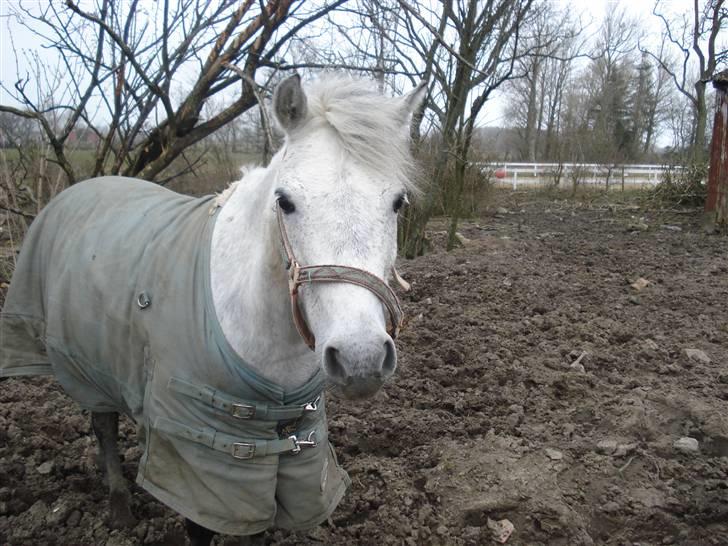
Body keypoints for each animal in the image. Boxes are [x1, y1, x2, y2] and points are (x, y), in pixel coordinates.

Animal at [0, 73, 426, 544]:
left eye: (398, 202)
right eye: (285, 201)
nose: (360, 357)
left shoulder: (282, 452)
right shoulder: (202, 456)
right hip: (81, 363)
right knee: (103, 425)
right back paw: (119, 506)